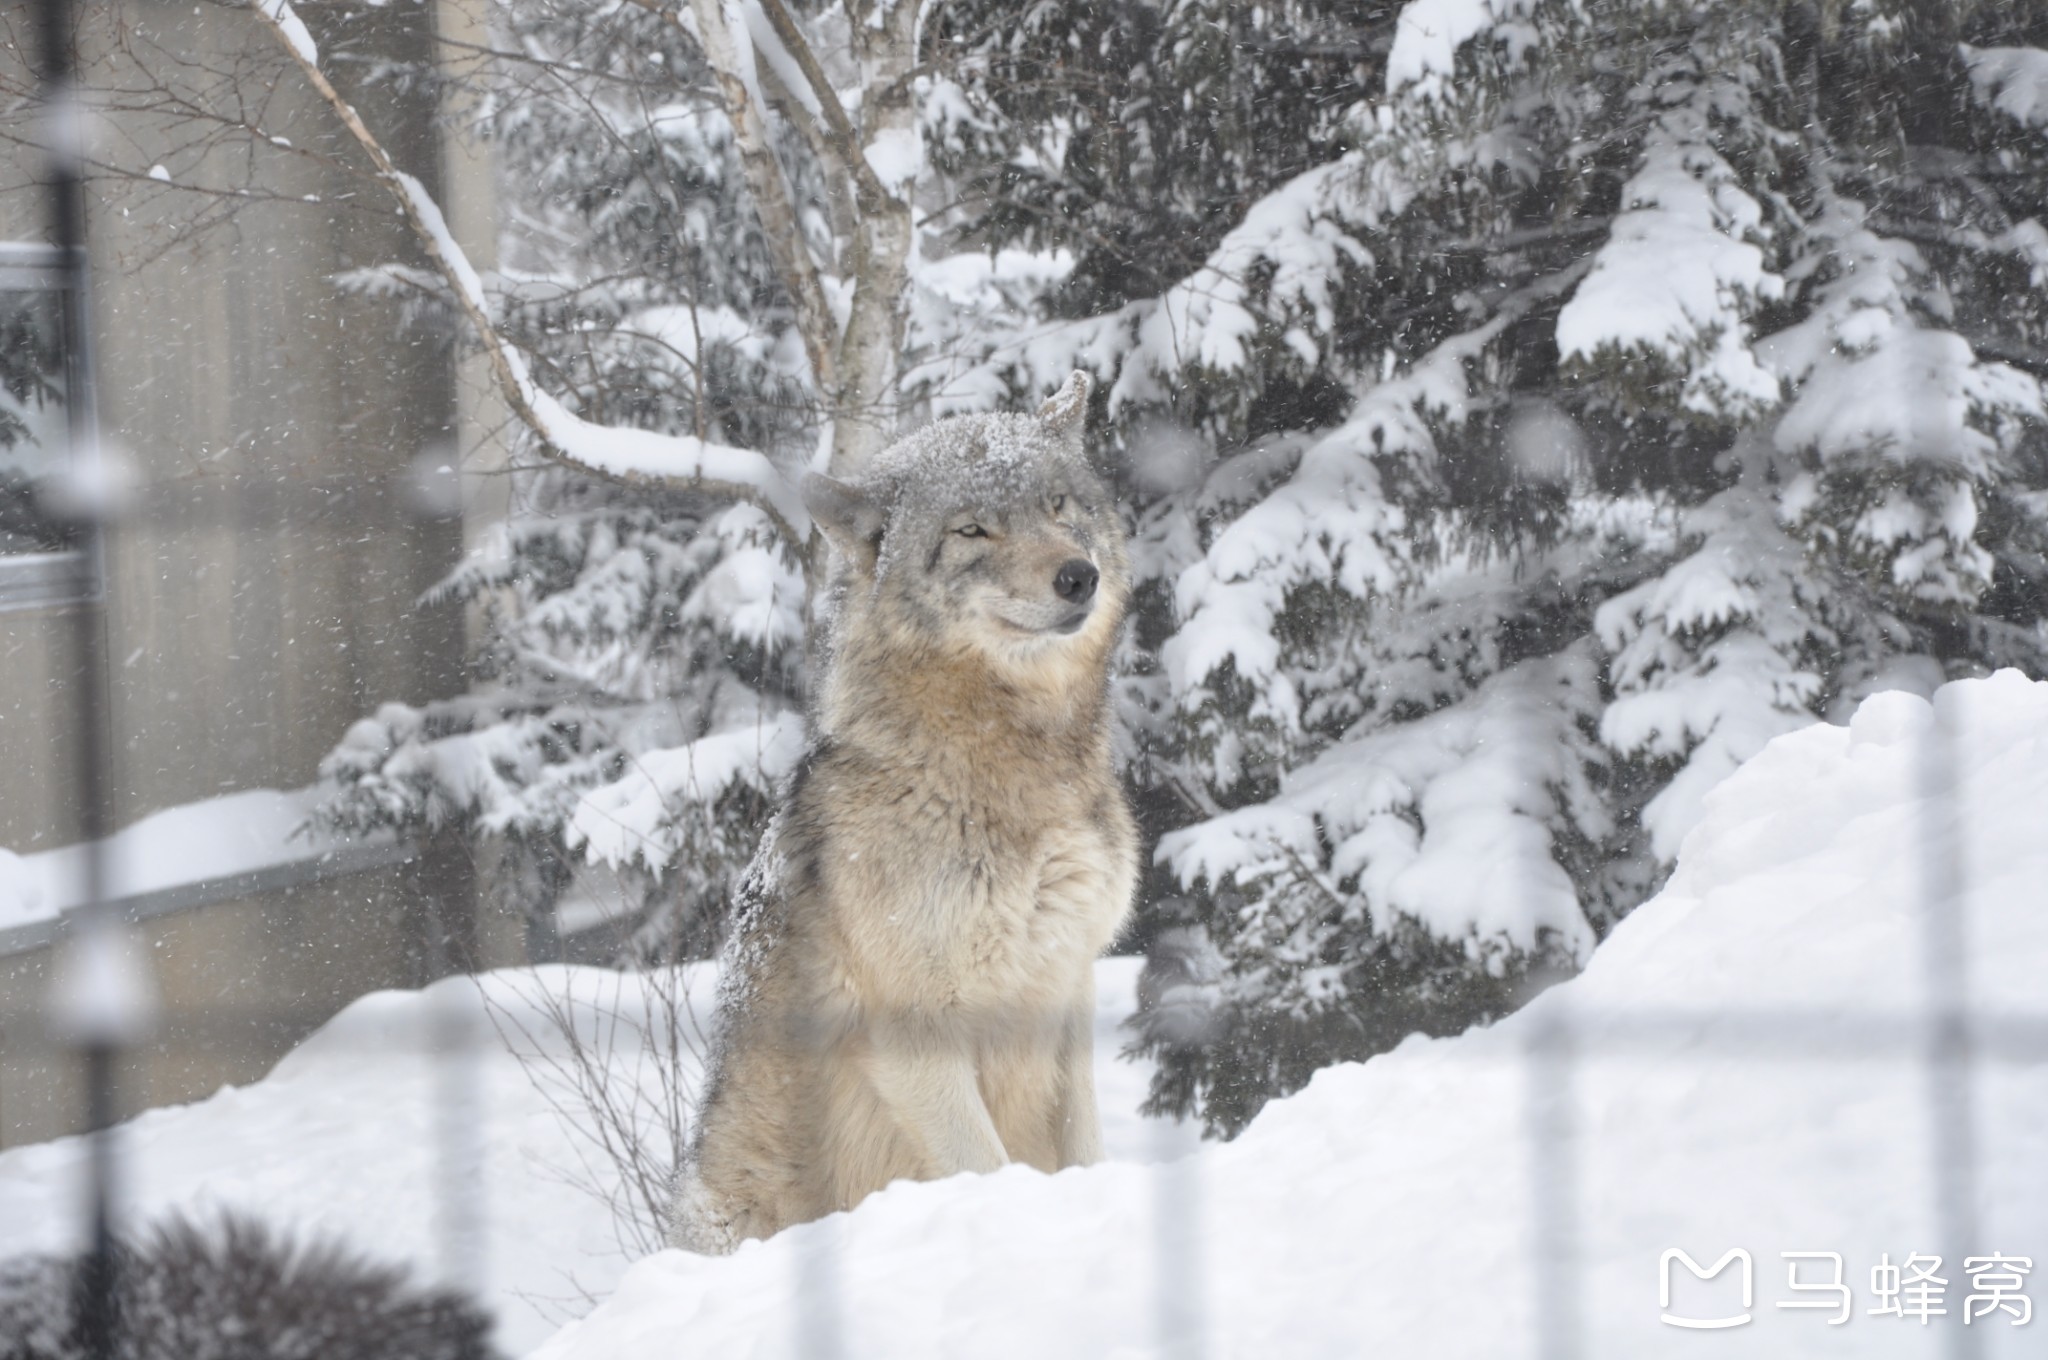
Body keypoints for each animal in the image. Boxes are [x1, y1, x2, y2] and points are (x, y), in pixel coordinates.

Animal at [679, 368, 1146, 1253]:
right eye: (972, 530)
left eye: (1059, 506)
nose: (1078, 576)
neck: (1009, 772)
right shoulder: (913, 1036)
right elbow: (988, 1169)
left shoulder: (1065, 987)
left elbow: (1086, 1149)